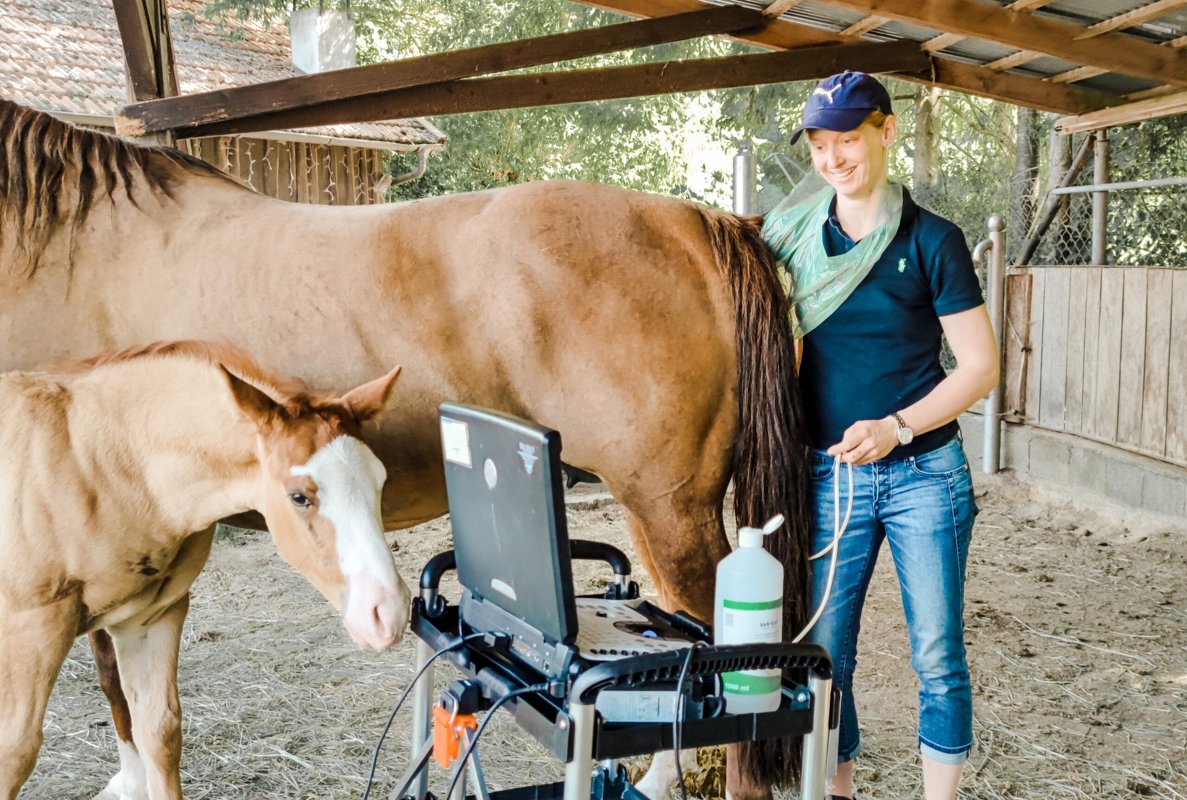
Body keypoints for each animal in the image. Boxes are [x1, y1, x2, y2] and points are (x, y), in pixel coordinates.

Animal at [0, 337, 408, 797]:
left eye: (380, 480)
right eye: (299, 496)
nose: (388, 612)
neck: (99, 464)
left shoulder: (151, 617)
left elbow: (159, 731)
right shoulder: (31, 629)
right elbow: (14, 754)